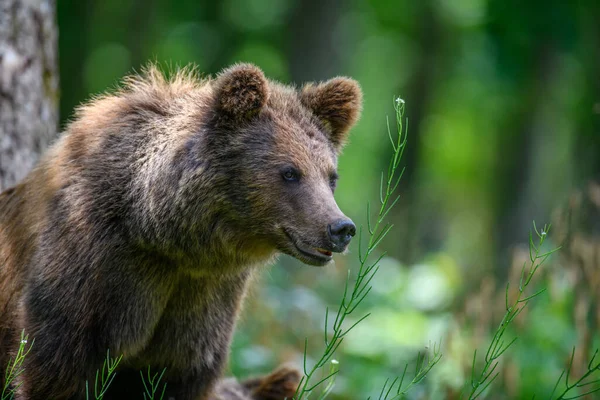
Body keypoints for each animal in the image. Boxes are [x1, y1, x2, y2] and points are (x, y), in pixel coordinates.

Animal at [0, 63, 360, 400]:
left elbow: (182, 374)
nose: (340, 227)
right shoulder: (87, 271)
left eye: (331, 176)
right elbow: (53, 369)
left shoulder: (202, 302)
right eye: (289, 172)